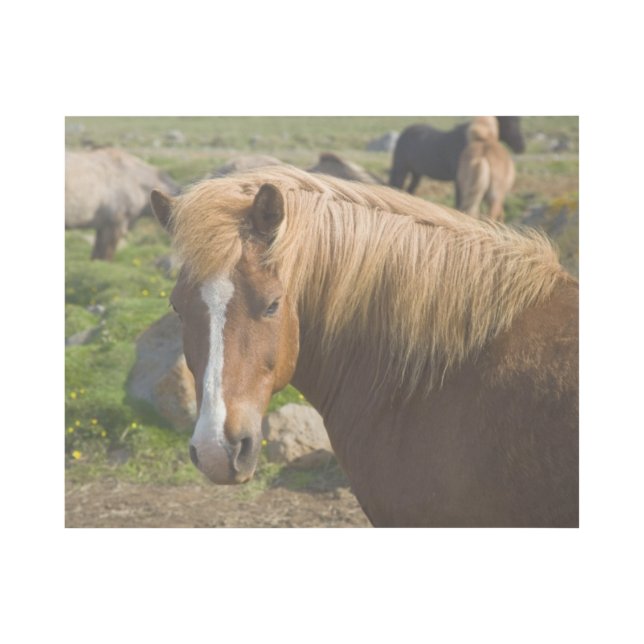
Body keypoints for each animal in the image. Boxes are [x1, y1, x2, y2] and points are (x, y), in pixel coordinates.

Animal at [389, 117, 524, 204]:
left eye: (518, 120)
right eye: (507, 123)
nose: (521, 146)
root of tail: (405, 132)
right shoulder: (460, 181)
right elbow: (459, 203)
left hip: (417, 173)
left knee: (410, 189)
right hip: (401, 169)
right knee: (396, 186)